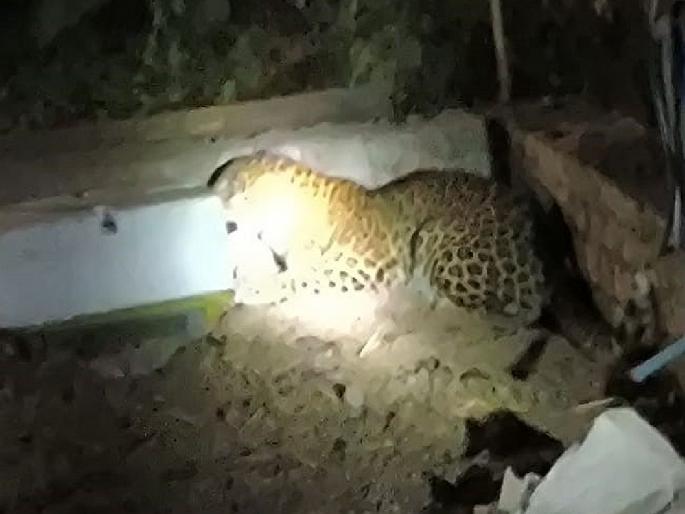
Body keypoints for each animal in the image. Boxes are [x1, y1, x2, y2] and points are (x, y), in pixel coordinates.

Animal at [208, 150, 548, 327]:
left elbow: (305, 277)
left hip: (438, 235)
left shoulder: (364, 264)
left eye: (226, 188)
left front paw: (254, 287)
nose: (211, 201)